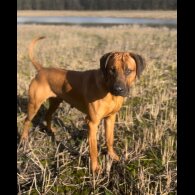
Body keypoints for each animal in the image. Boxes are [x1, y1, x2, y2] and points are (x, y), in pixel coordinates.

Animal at [19, 36, 145, 172]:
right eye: (112, 70)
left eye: (128, 70)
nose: (118, 89)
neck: (107, 89)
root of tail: (42, 70)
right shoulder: (92, 123)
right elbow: (93, 149)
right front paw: (95, 168)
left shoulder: (111, 118)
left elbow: (110, 139)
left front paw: (113, 156)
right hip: (34, 104)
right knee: (27, 121)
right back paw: (23, 140)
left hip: (56, 101)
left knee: (48, 115)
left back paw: (50, 130)